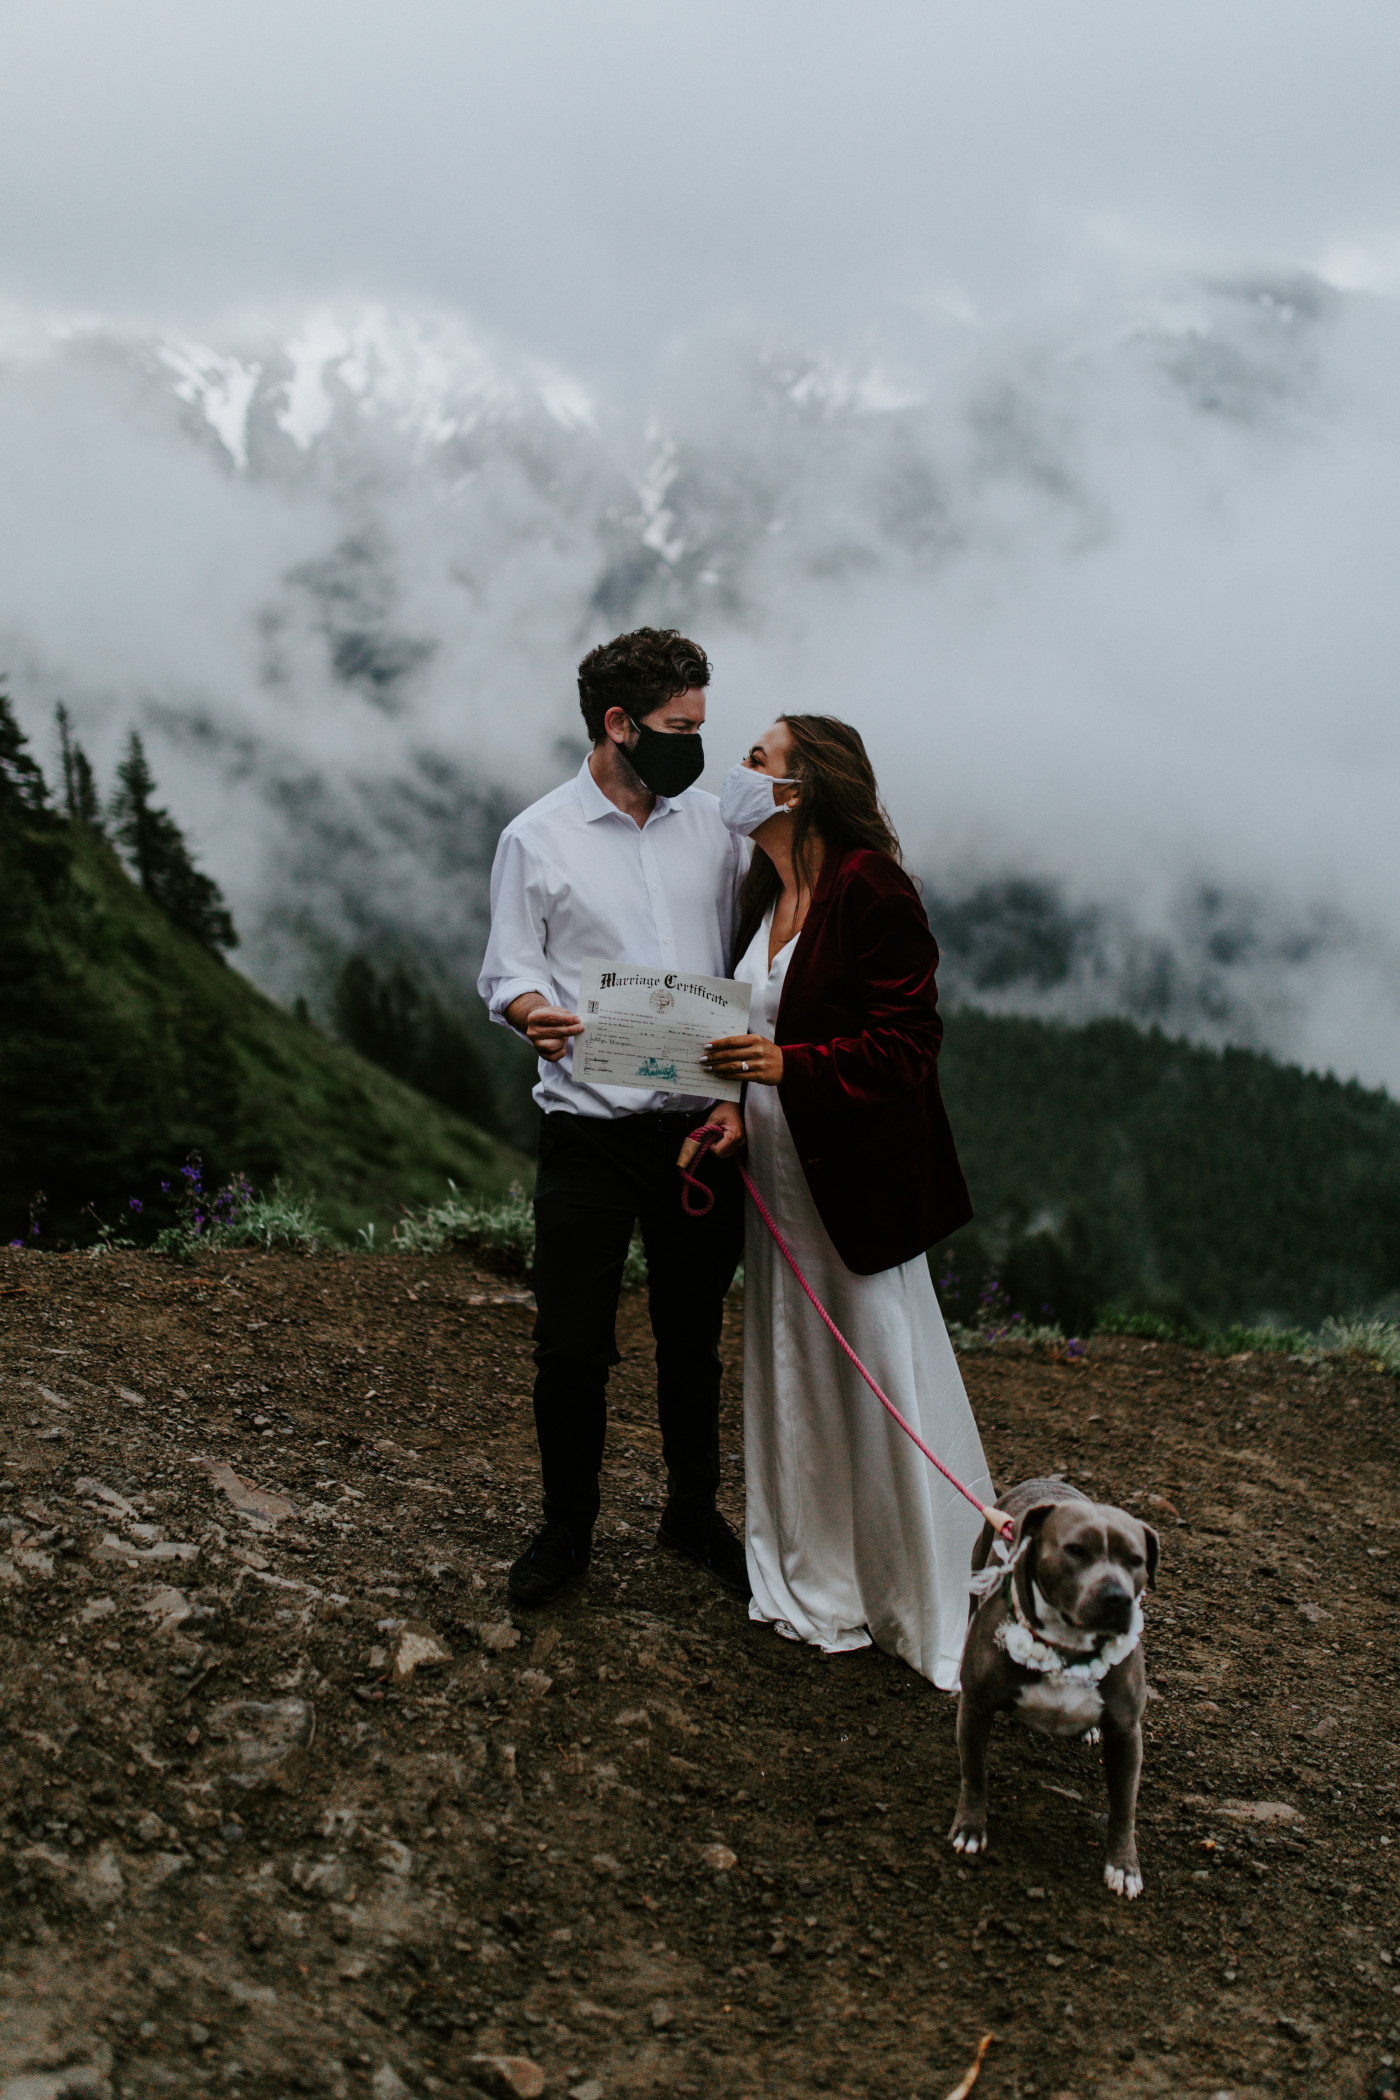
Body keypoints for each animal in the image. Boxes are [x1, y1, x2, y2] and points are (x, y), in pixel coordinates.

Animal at [952, 1478, 1158, 1906]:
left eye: (1136, 1560)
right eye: (1075, 1550)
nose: (1117, 1596)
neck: (1067, 1646)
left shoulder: (1127, 1732)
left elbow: (1124, 1806)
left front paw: (1124, 1865)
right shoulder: (976, 1707)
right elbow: (974, 1772)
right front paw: (970, 1827)